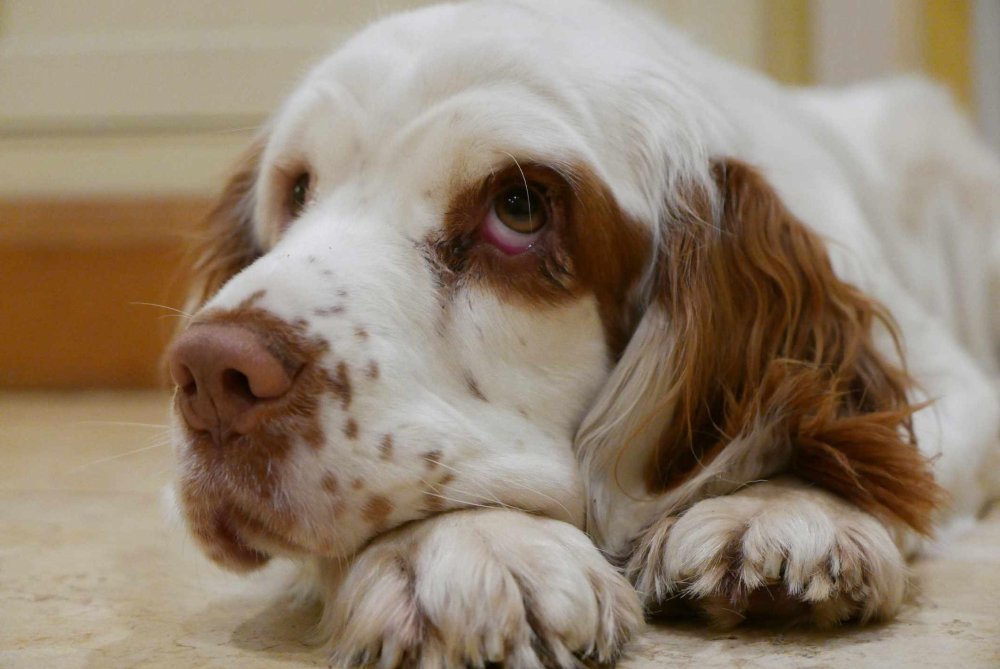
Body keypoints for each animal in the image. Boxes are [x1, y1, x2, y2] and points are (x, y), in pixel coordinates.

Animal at [166, 2, 1000, 664]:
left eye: (519, 208)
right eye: (298, 190)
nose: (210, 373)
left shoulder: (955, 384)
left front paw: (783, 507)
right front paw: (473, 545)